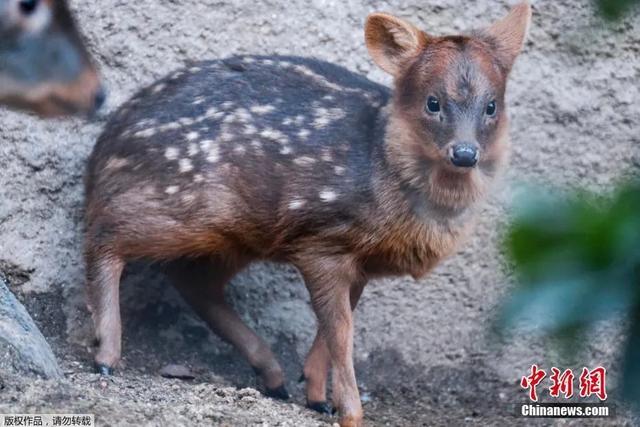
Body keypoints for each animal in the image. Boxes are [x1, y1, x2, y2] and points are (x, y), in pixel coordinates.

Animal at [86, 2, 536, 424]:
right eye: (432, 102)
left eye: (492, 105)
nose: (465, 153)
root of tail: (103, 148)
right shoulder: (322, 240)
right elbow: (341, 331)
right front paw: (350, 413)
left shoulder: (358, 260)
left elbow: (330, 328)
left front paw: (318, 396)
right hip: (182, 204)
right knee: (105, 233)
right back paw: (106, 354)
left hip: (237, 233)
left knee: (192, 279)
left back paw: (273, 377)